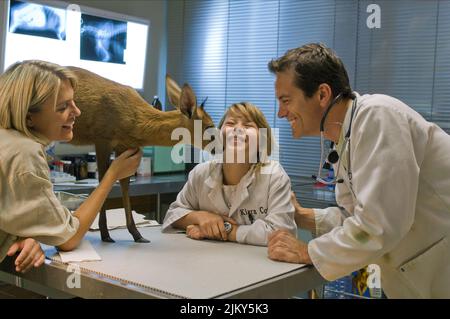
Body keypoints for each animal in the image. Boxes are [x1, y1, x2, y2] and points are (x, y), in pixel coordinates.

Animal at [67, 67, 214, 242]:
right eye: (209, 126)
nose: (219, 148)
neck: (136, 125)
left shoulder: (125, 145)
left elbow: (124, 183)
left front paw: (136, 234)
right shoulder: (102, 138)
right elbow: (103, 179)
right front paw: (105, 234)